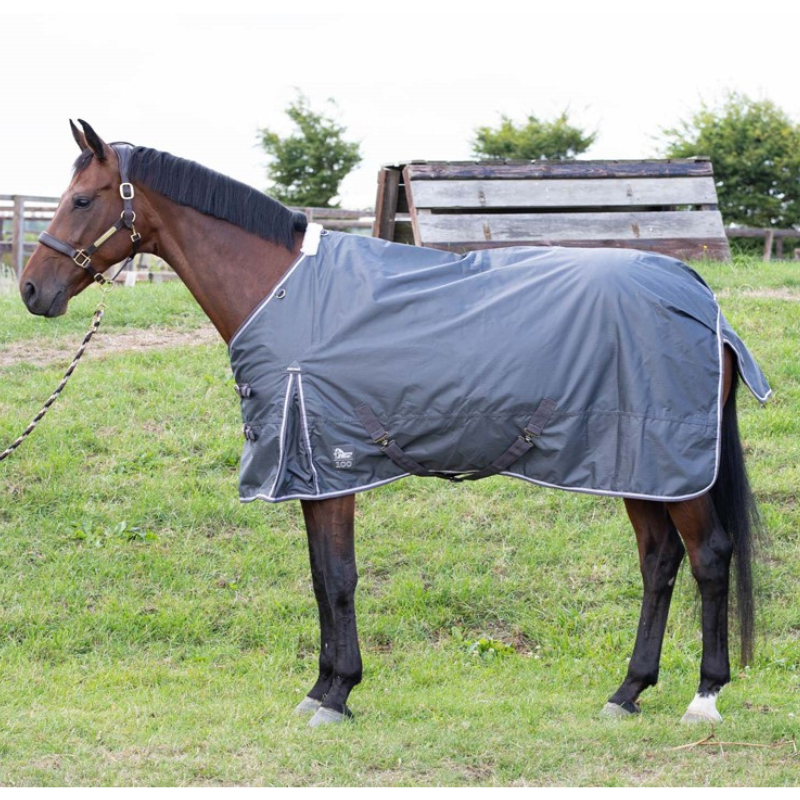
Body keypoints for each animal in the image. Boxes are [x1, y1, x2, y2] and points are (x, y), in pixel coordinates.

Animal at [19, 120, 767, 728]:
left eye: (82, 199)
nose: (32, 289)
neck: (285, 291)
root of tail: (699, 295)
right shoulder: (314, 471)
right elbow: (321, 576)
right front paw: (321, 690)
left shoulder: (330, 464)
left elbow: (339, 578)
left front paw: (338, 694)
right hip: (637, 464)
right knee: (658, 561)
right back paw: (627, 691)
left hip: (671, 464)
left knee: (708, 557)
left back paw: (704, 697)